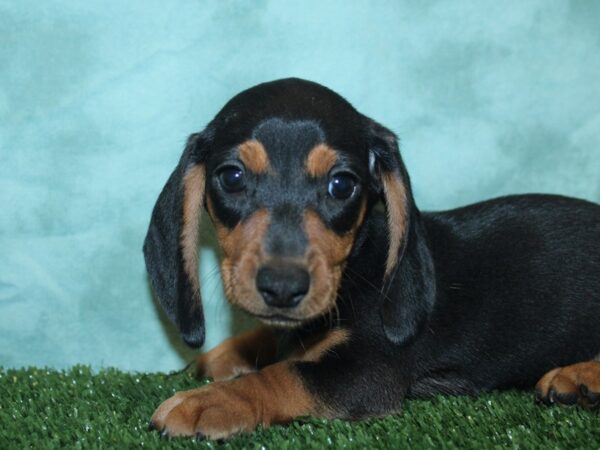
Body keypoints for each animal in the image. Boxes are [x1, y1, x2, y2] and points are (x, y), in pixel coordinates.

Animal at [144, 78, 600, 440]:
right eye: (232, 177)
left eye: (342, 185)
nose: (282, 288)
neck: (355, 268)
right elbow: (273, 343)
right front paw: (222, 357)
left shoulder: (364, 372)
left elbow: (284, 373)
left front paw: (211, 400)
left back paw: (578, 376)